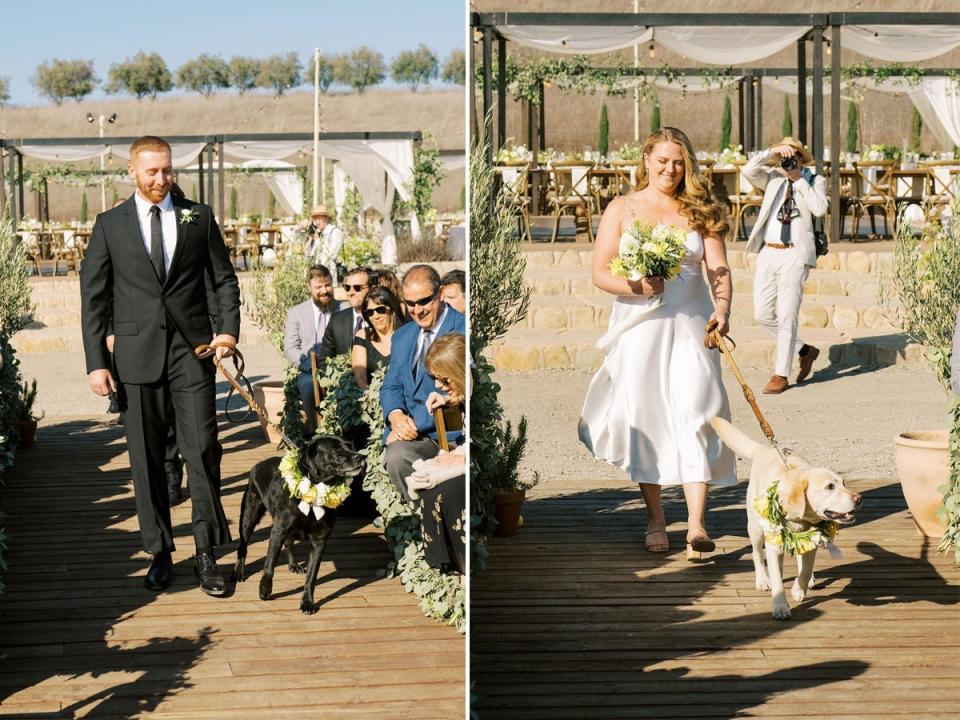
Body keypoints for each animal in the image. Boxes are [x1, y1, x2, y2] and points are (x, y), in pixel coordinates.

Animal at [234, 434, 366, 612]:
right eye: (336, 449)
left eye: (350, 446)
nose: (360, 456)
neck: (315, 489)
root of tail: (258, 465)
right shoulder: (277, 531)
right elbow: (269, 565)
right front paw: (264, 590)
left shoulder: (319, 540)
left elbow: (311, 577)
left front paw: (308, 602)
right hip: (249, 517)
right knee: (242, 547)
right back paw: (239, 572)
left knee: (289, 543)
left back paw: (293, 565)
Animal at [708, 416, 860, 620]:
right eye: (829, 487)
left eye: (843, 483)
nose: (859, 499)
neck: (799, 521)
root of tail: (764, 450)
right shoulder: (773, 545)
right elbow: (777, 580)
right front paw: (780, 606)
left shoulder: (813, 539)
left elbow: (805, 569)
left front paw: (798, 589)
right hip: (755, 529)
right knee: (757, 555)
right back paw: (762, 580)